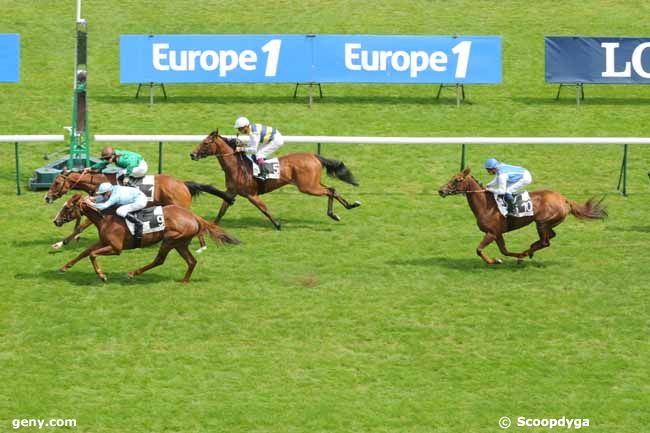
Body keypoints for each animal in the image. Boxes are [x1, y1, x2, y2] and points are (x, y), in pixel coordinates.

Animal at [45, 169, 233, 250]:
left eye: (57, 182)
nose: (47, 197)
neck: (101, 181)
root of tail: (183, 184)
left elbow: (82, 225)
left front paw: (60, 243)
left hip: (179, 206)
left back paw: (201, 246)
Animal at [53, 193, 239, 282]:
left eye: (67, 207)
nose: (55, 221)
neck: (105, 218)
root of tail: (193, 217)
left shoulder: (116, 248)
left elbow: (92, 254)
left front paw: (102, 275)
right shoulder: (104, 242)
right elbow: (85, 252)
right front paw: (64, 267)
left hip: (170, 240)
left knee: (159, 260)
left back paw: (132, 273)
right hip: (180, 243)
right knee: (191, 261)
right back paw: (184, 281)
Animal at [190, 129, 362, 228]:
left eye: (205, 143)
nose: (192, 154)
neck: (237, 166)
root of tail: (314, 156)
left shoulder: (251, 194)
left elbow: (264, 209)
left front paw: (278, 224)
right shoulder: (232, 192)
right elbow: (221, 211)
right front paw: (212, 226)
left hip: (308, 187)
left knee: (330, 190)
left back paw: (335, 213)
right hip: (313, 183)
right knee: (332, 189)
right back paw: (349, 206)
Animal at [438, 168, 604, 264]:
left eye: (457, 180)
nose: (441, 190)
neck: (486, 205)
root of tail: (563, 198)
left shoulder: (491, 233)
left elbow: (479, 250)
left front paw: (495, 261)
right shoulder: (498, 233)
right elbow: (504, 251)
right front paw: (502, 259)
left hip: (541, 223)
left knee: (546, 242)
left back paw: (527, 253)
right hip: (546, 224)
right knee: (550, 237)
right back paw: (527, 252)